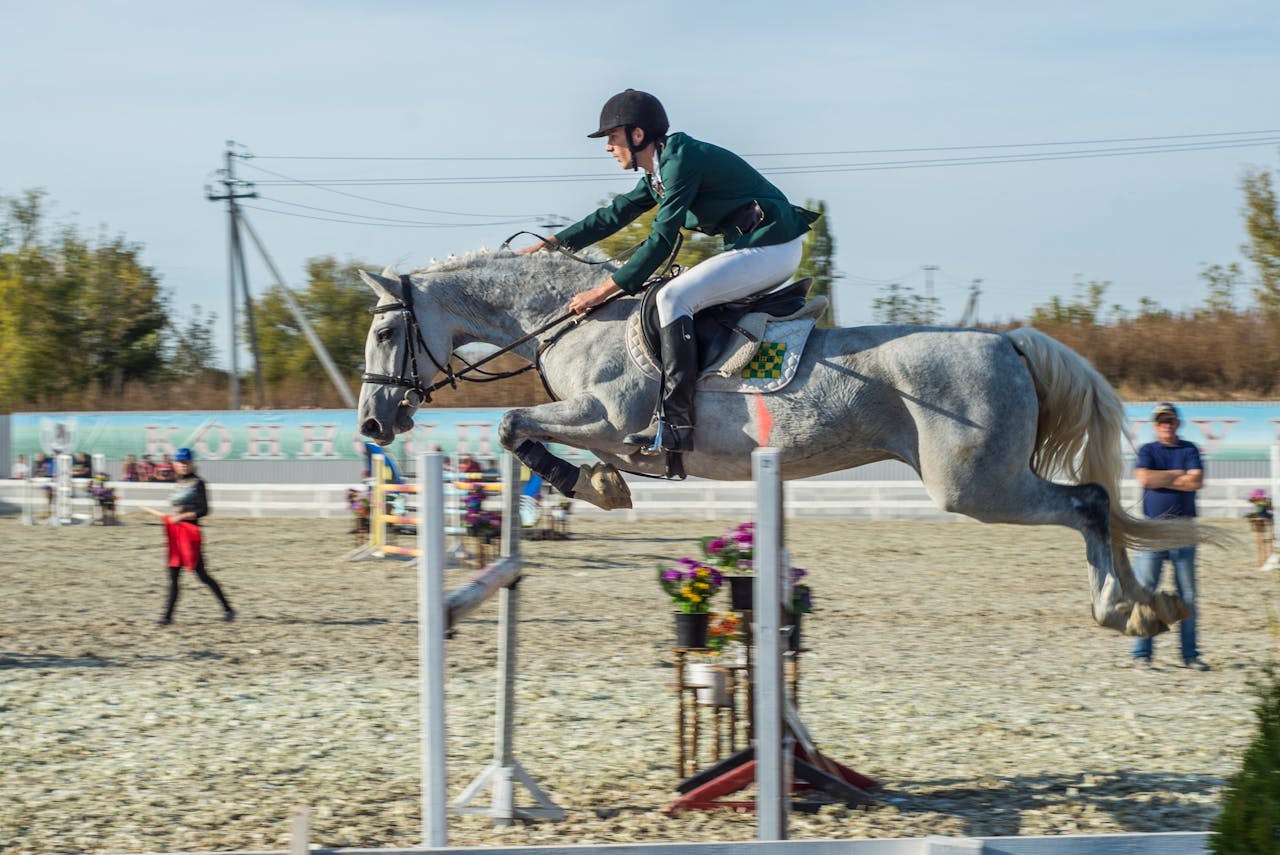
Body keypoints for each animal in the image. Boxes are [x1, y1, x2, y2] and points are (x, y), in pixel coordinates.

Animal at [356, 248, 1214, 638]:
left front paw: (588, 485)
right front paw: (599, 485)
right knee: (1093, 503)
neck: (576, 318)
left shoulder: (610, 417)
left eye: (388, 332)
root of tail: (1006, 341)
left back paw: (1128, 608)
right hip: (985, 481)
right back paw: (1149, 606)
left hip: (977, 486)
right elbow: (531, 435)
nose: (371, 424)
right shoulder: (608, 429)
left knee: (1090, 501)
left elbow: (514, 424)